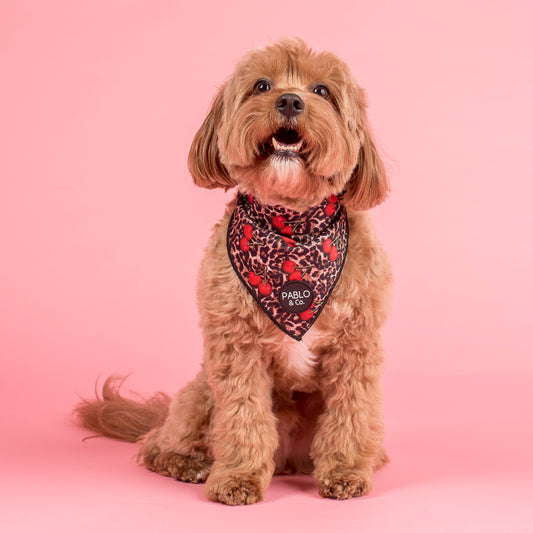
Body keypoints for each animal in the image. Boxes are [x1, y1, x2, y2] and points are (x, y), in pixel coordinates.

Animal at [75, 37, 390, 502]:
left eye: (321, 91)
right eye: (261, 85)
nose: (290, 100)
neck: (291, 230)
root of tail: (289, 462)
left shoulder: (356, 346)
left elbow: (351, 411)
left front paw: (347, 471)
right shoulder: (235, 346)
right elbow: (244, 416)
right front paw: (238, 477)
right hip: (201, 390)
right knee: (155, 443)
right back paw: (188, 463)